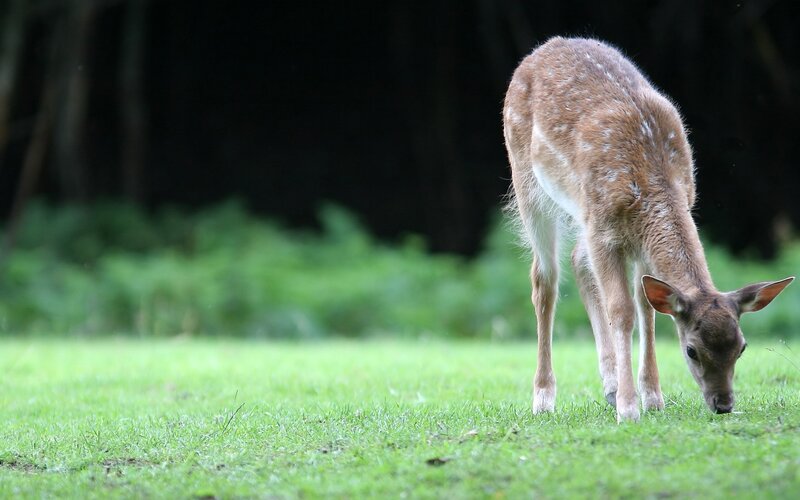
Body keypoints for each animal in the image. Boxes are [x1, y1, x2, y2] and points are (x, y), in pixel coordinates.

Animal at [503, 37, 794, 422]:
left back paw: (609, 386)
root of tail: (543, 48)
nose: (723, 404)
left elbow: (647, 306)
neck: (650, 182)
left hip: (579, 213)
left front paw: (653, 397)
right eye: (691, 350)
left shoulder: (637, 238)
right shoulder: (603, 228)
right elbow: (622, 311)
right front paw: (629, 408)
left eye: (742, 347)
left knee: (578, 259)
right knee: (544, 280)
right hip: (527, 180)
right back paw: (543, 398)